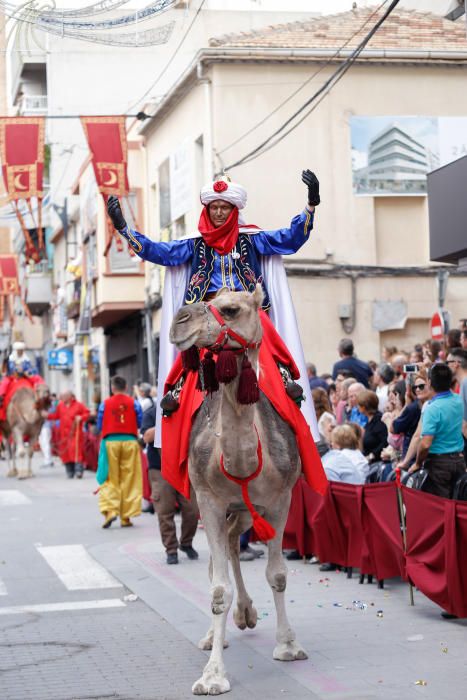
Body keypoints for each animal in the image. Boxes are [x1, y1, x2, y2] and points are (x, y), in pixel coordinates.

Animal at [170, 284, 308, 696]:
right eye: (203, 298)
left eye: (230, 309)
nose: (179, 321)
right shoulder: (210, 501)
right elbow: (218, 589)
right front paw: (213, 675)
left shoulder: (280, 501)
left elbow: (277, 574)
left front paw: (288, 646)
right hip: (214, 504)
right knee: (221, 554)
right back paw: (220, 630)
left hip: (249, 509)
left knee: (234, 540)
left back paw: (247, 614)